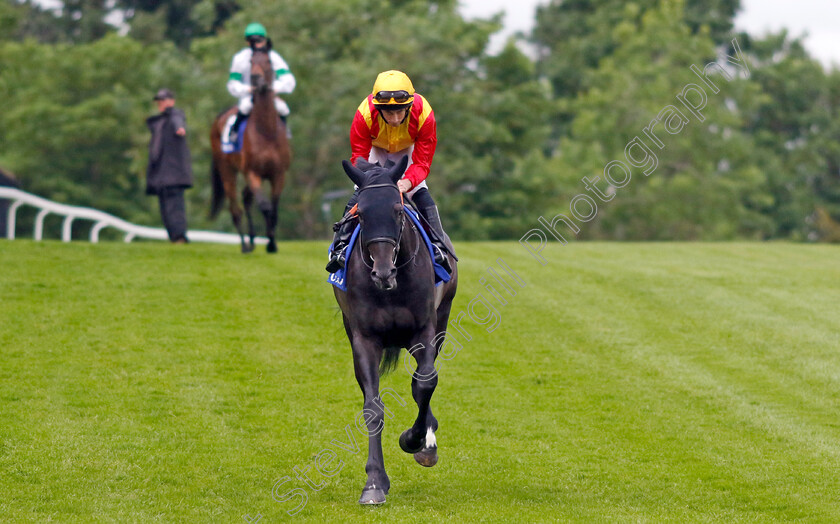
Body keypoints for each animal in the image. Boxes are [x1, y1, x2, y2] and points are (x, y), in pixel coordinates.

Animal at [210, 48, 292, 253]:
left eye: (269, 61)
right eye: (251, 61)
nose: (255, 79)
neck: (266, 132)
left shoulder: (278, 174)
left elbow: (274, 207)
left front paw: (272, 242)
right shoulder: (253, 172)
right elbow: (265, 206)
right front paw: (269, 243)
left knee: (246, 198)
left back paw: (253, 239)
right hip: (227, 171)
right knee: (235, 206)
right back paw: (245, 244)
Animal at [332, 156, 460, 504]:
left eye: (398, 211)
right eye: (361, 214)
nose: (382, 271)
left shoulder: (424, 329)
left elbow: (425, 383)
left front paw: (416, 441)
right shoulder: (364, 338)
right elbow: (373, 407)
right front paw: (375, 483)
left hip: (443, 318)